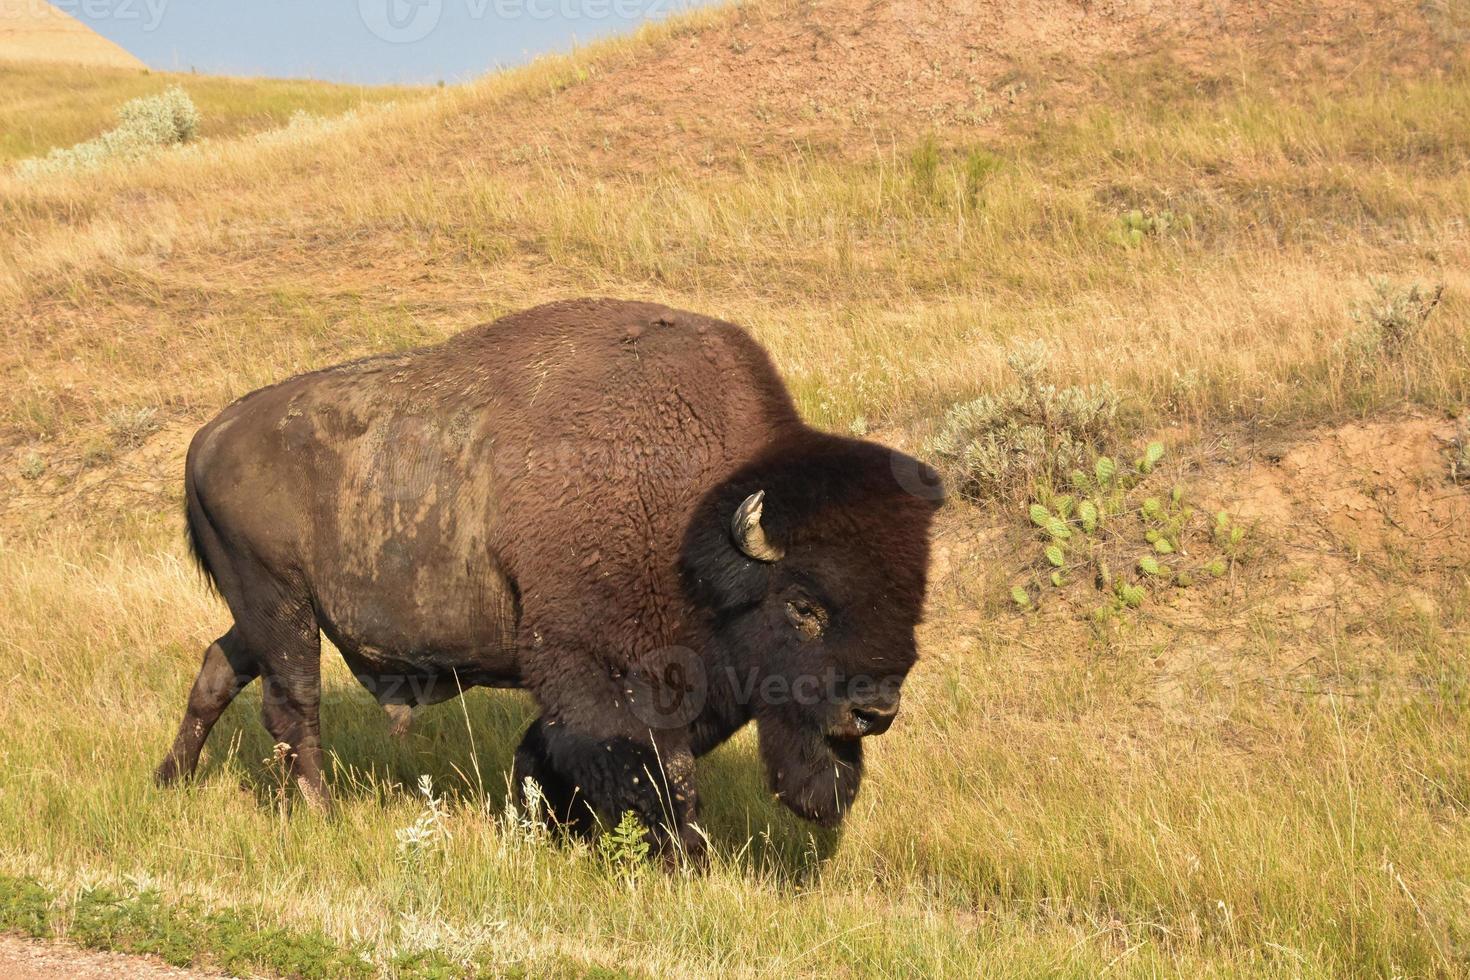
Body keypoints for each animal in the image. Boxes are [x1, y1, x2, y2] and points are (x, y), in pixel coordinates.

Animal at [155, 299, 940, 858]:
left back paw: (171, 781)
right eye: (804, 605)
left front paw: (548, 830)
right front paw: (685, 859)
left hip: (265, 612)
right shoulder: (600, 666)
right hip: (282, 605)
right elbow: (660, 769)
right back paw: (319, 816)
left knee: (219, 670)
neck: (695, 516)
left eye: (913, 603)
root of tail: (208, 437)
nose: (874, 710)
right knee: (293, 705)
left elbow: (555, 751)